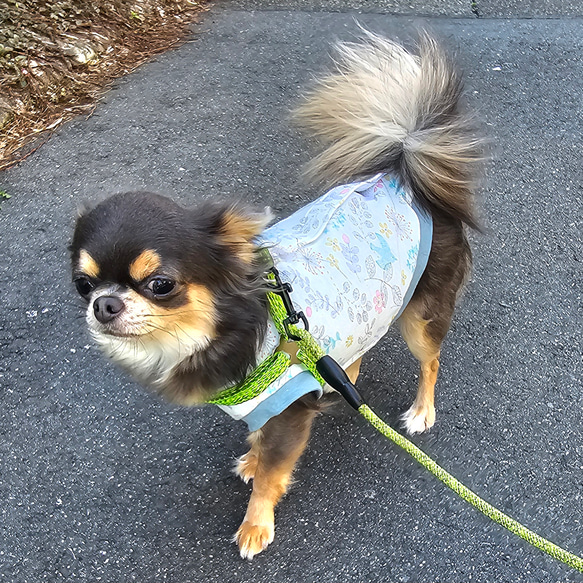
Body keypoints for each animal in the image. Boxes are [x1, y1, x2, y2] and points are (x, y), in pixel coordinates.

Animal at [70, 33, 484, 560]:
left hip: (420, 316)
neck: (214, 332)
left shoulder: (287, 407)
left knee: (430, 361)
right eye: (83, 284)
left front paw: (255, 524)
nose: (104, 304)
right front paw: (251, 455)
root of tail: (404, 176)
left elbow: (273, 469)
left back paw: (421, 411)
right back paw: (341, 377)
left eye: (160, 284)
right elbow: (257, 435)